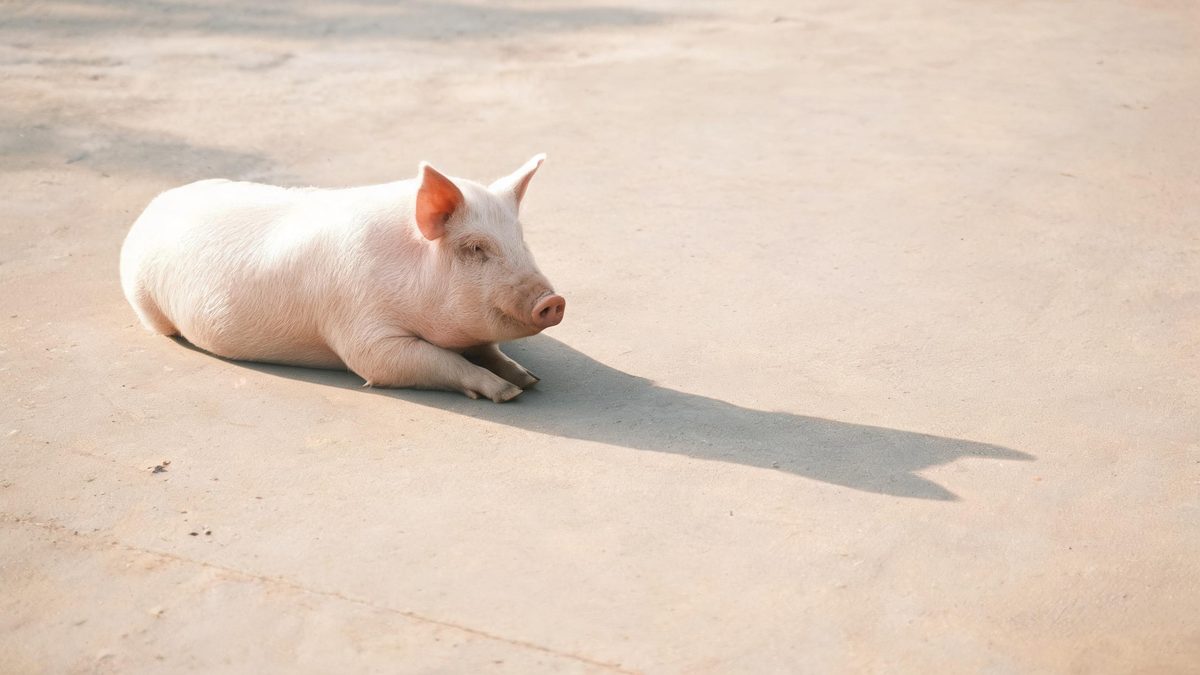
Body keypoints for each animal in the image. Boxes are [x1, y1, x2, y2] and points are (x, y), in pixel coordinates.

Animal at [119, 155, 565, 402]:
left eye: (521, 239)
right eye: (474, 248)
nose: (552, 300)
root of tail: (153, 207)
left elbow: (488, 349)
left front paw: (529, 379)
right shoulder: (363, 333)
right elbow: (423, 361)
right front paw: (507, 393)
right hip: (146, 304)